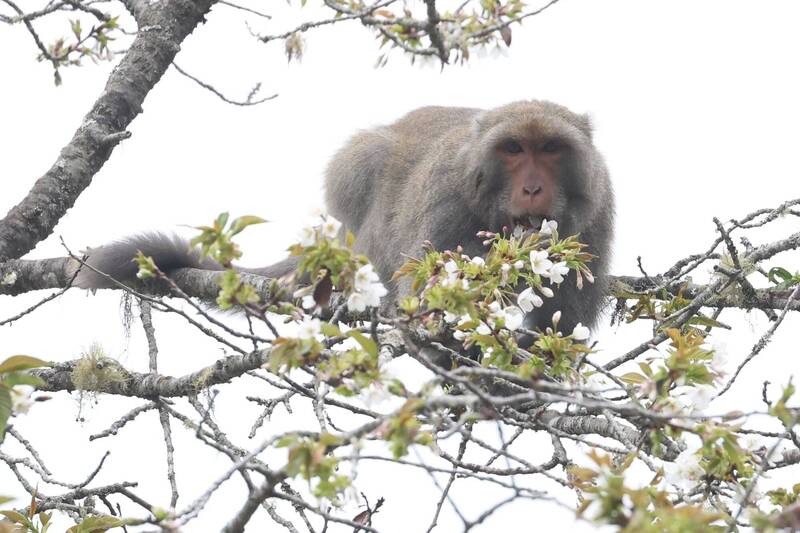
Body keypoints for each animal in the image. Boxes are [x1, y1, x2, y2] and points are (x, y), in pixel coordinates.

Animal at [75, 100, 612, 330]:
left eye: (551, 149)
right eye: (514, 149)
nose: (533, 187)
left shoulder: (598, 213)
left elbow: (564, 327)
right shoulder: (447, 201)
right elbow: (426, 301)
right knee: (360, 160)